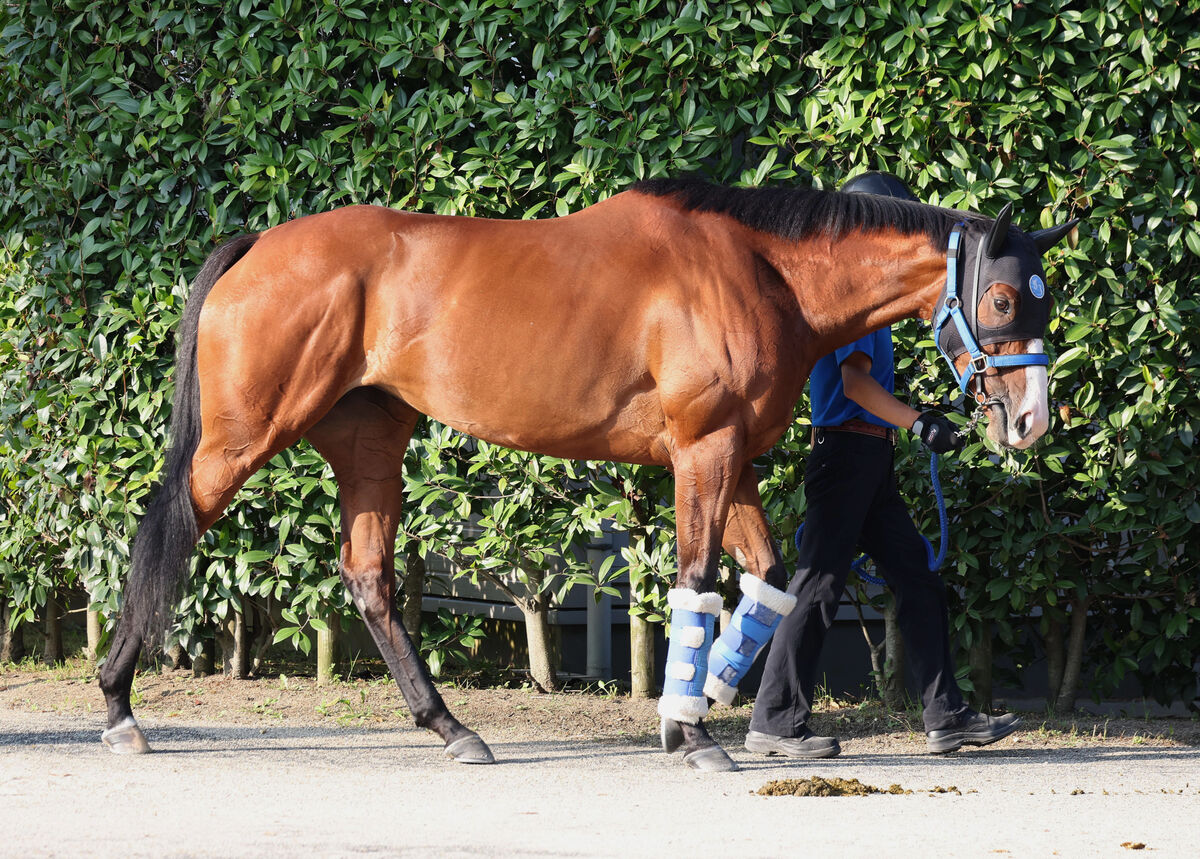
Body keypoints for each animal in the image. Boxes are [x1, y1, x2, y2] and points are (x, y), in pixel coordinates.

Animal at [100, 177, 1080, 767]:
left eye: (1047, 298)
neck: (759, 271)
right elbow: (697, 579)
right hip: (240, 439)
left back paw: (453, 728)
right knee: (160, 532)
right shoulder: (703, 449)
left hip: (371, 445)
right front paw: (692, 729)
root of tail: (260, 244)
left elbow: (766, 580)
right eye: (1000, 298)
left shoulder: (738, 459)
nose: (1031, 420)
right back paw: (119, 708)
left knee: (370, 577)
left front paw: (708, 693)